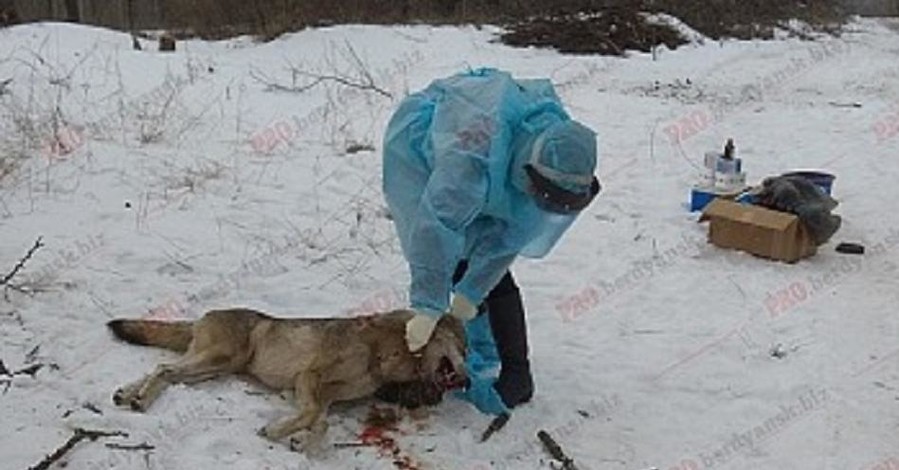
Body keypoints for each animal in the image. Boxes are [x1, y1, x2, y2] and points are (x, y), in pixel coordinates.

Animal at [109, 306, 468, 450]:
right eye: (463, 351)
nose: (468, 382)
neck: (390, 349)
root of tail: (202, 317)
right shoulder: (308, 378)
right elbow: (314, 418)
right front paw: (275, 431)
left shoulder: (323, 396)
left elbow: (322, 423)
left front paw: (301, 442)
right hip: (221, 360)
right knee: (165, 370)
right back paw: (140, 399)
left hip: (214, 368)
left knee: (161, 370)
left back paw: (127, 395)